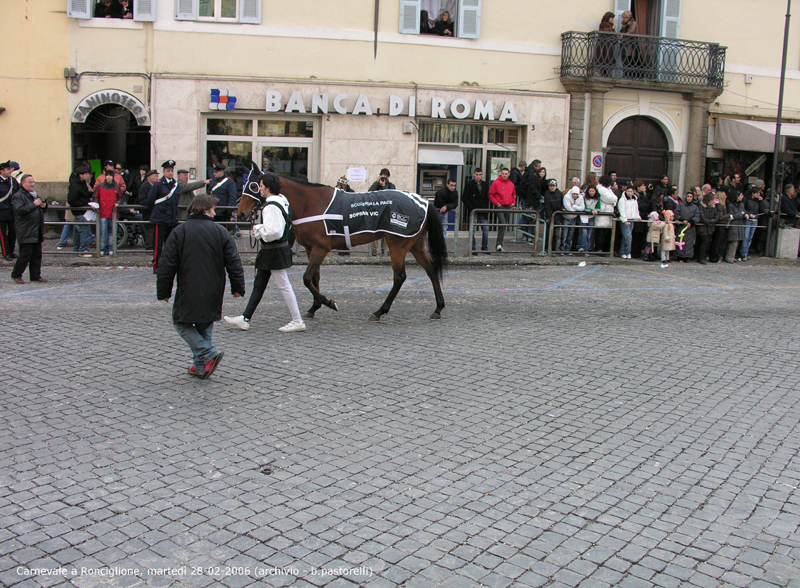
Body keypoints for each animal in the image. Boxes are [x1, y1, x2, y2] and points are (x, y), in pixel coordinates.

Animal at [238, 177, 450, 322]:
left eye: (253, 186)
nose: (239, 213)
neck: (310, 203)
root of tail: (424, 202)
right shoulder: (311, 249)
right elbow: (315, 278)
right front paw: (314, 308)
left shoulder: (320, 248)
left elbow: (307, 278)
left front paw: (329, 303)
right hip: (415, 245)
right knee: (431, 271)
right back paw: (438, 308)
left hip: (398, 245)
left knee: (399, 277)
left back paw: (380, 311)